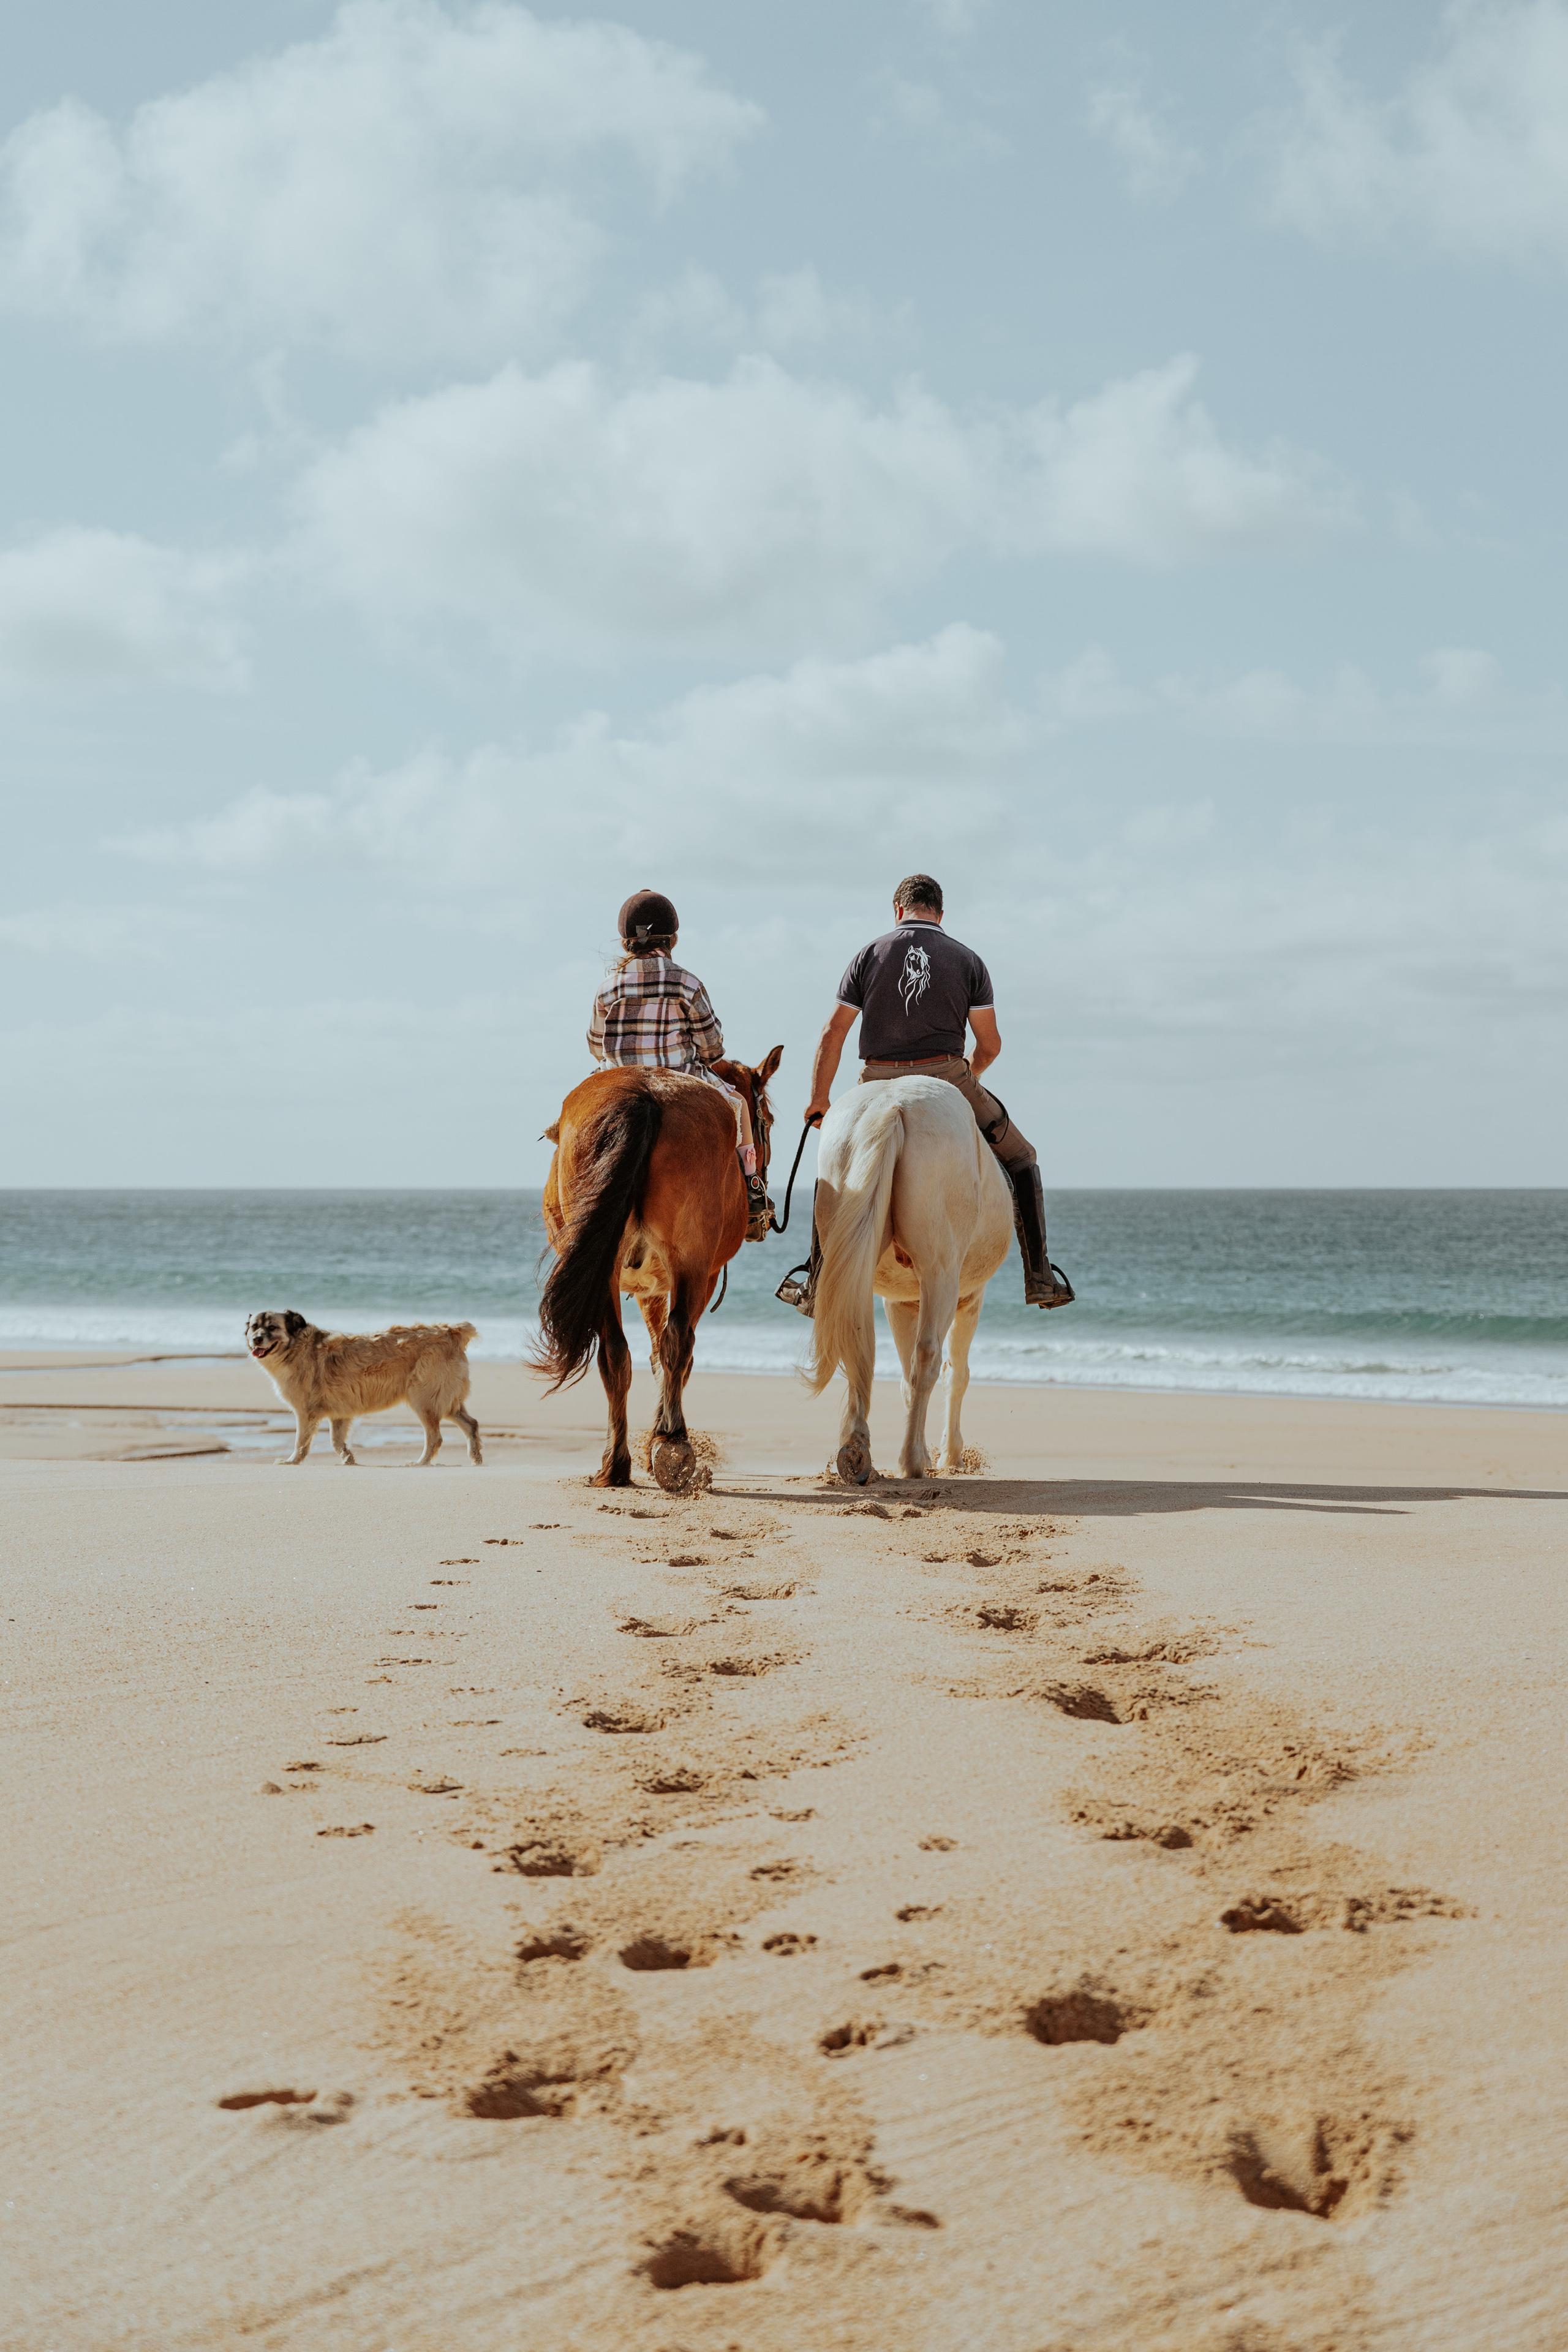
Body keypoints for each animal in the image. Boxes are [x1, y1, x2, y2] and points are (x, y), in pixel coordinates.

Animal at [534, 1049, 783, 1490]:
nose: (762, 1208)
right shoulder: (701, 1277)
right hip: (690, 1264)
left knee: (616, 1353)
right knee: (677, 1341)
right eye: (766, 1121)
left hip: (605, 1272)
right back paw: (672, 1443)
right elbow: (677, 1356)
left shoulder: (653, 1286)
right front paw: (660, 1437)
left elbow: (652, 1354)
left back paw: (617, 1462)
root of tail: (643, 1095)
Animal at [806, 1074, 1012, 1484]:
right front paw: (951, 1455)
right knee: (929, 1357)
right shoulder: (970, 1299)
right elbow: (956, 1375)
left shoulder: (898, 1302)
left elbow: (905, 1378)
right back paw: (913, 1461)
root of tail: (893, 1104)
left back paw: (857, 1450)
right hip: (942, 1277)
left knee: (859, 1343)